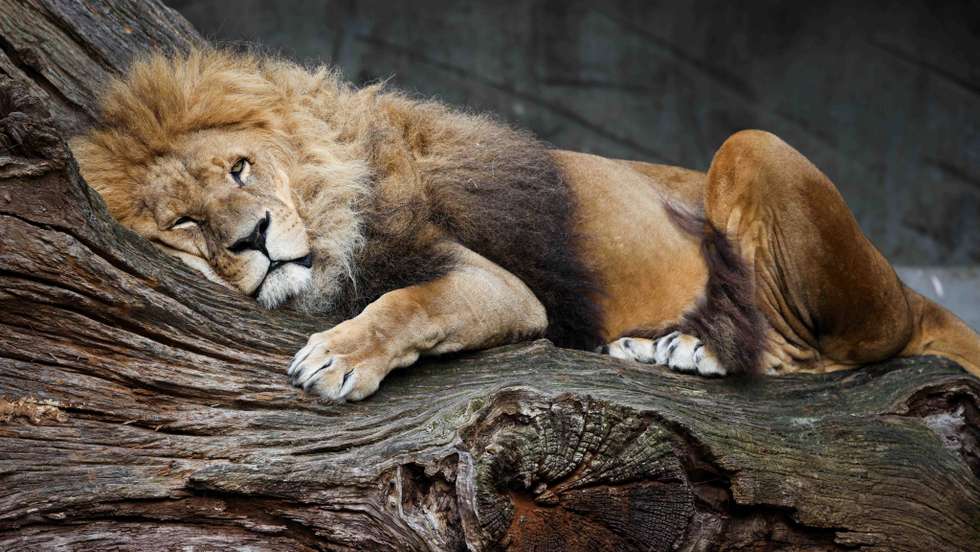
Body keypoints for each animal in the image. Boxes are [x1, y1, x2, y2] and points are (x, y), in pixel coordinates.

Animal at [71, 49, 980, 401]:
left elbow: (409, 304)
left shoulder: (496, 284)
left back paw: (697, 348)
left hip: (749, 147)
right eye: (187, 221)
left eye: (240, 169)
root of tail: (911, 290)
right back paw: (655, 345)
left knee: (815, 351)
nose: (254, 236)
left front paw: (339, 355)